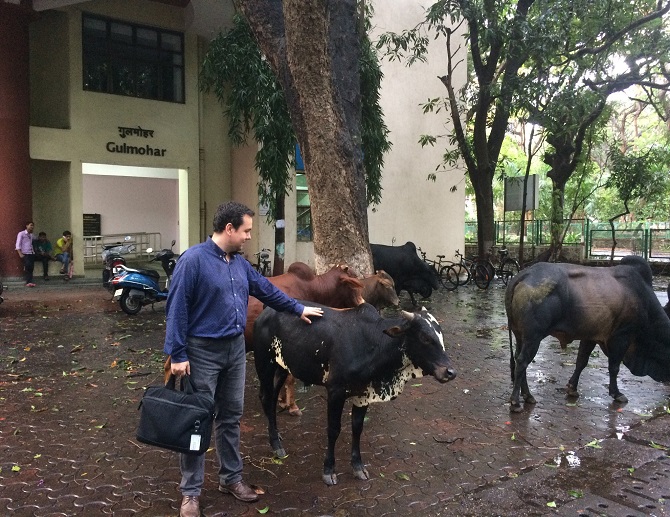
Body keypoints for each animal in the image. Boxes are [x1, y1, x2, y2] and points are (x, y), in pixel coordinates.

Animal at [252, 300, 456, 486]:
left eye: (440, 336)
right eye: (425, 337)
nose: (450, 372)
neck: (375, 344)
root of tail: (267, 310)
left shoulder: (363, 395)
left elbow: (357, 428)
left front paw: (358, 466)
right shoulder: (335, 392)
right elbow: (333, 430)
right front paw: (329, 470)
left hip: (283, 367)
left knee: (273, 397)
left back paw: (276, 435)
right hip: (264, 363)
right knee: (265, 397)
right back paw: (276, 444)